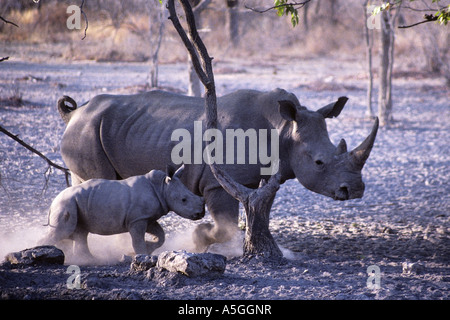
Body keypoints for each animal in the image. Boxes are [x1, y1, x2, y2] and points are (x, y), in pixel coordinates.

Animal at [38, 165, 204, 260]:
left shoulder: (146, 217)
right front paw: (141, 255)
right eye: (184, 200)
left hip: (75, 203)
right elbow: (137, 240)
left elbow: (161, 235)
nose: (200, 214)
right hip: (66, 204)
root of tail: (53, 202)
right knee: (64, 230)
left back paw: (90, 260)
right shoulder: (137, 219)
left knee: (81, 232)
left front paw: (147, 249)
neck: (162, 187)